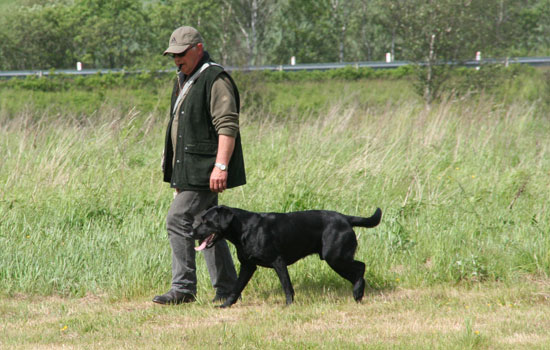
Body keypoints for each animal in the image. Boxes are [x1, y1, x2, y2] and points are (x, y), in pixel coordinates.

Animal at [195, 205, 384, 306]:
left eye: (206, 221)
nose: (192, 231)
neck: (244, 229)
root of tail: (345, 218)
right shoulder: (248, 266)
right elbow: (236, 287)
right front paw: (225, 305)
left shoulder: (278, 261)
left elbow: (287, 286)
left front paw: (289, 305)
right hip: (337, 259)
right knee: (357, 270)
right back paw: (357, 294)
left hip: (335, 257)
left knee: (361, 267)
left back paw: (358, 293)